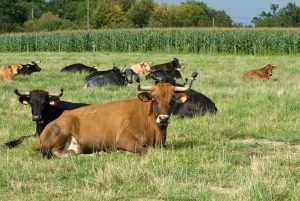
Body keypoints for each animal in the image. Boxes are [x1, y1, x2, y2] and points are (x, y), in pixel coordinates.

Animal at [38, 78, 195, 159]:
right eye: (154, 99)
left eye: (172, 100)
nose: (163, 119)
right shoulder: (124, 139)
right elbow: (145, 151)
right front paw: (121, 151)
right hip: (61, 131)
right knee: (64, 153)